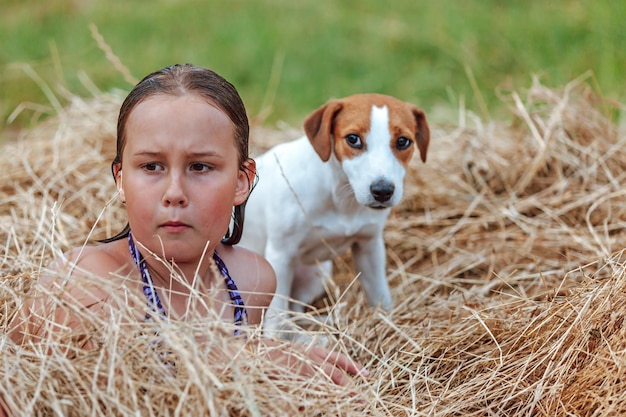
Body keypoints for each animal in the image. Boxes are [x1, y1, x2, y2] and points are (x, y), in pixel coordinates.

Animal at [236, 92, 426, 334]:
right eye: (353, 139)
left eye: (403, 141)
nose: (383, 191)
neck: (340, 195)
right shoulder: (280, 256)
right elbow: (276, 316)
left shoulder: (369, 246)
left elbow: (379, 293)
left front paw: (386, 321)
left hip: (317, 273)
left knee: (295, 310)